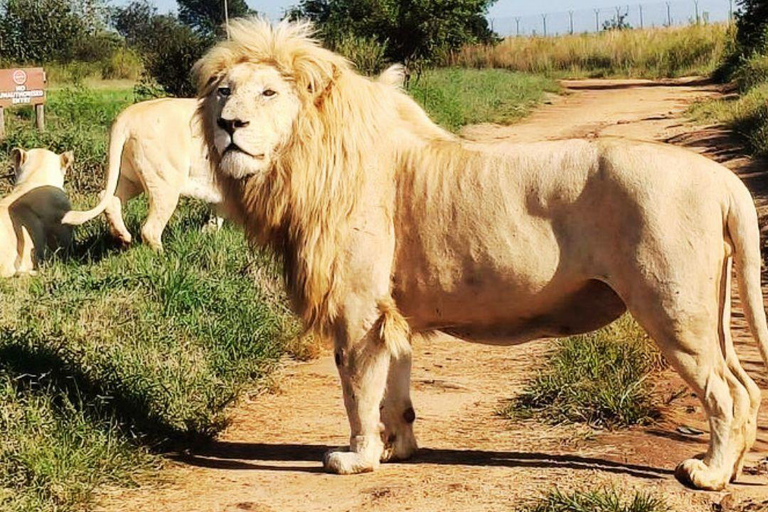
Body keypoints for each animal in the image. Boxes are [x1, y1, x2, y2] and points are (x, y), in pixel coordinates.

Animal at [61, 98, 223, 251]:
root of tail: (127, 117)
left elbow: (215, 217)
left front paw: (208, 234)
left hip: (129, 178)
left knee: (109, 199)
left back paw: (123, 237)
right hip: (165, 184)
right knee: (149, 229)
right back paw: (162, 256)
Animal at [193, 18, 768, 491]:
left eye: (268, 92)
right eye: (223, 92)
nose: (229, 126)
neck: (303, 157)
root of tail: (724, 180)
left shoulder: (358, 309)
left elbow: (357, 389)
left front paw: (357, 458)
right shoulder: (391, 312)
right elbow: (395, 390)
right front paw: (398, 450)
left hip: (673, 307)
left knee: (724, 392)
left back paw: (708, 474)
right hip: (709, 308)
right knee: (746, 387)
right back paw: (734, 469)